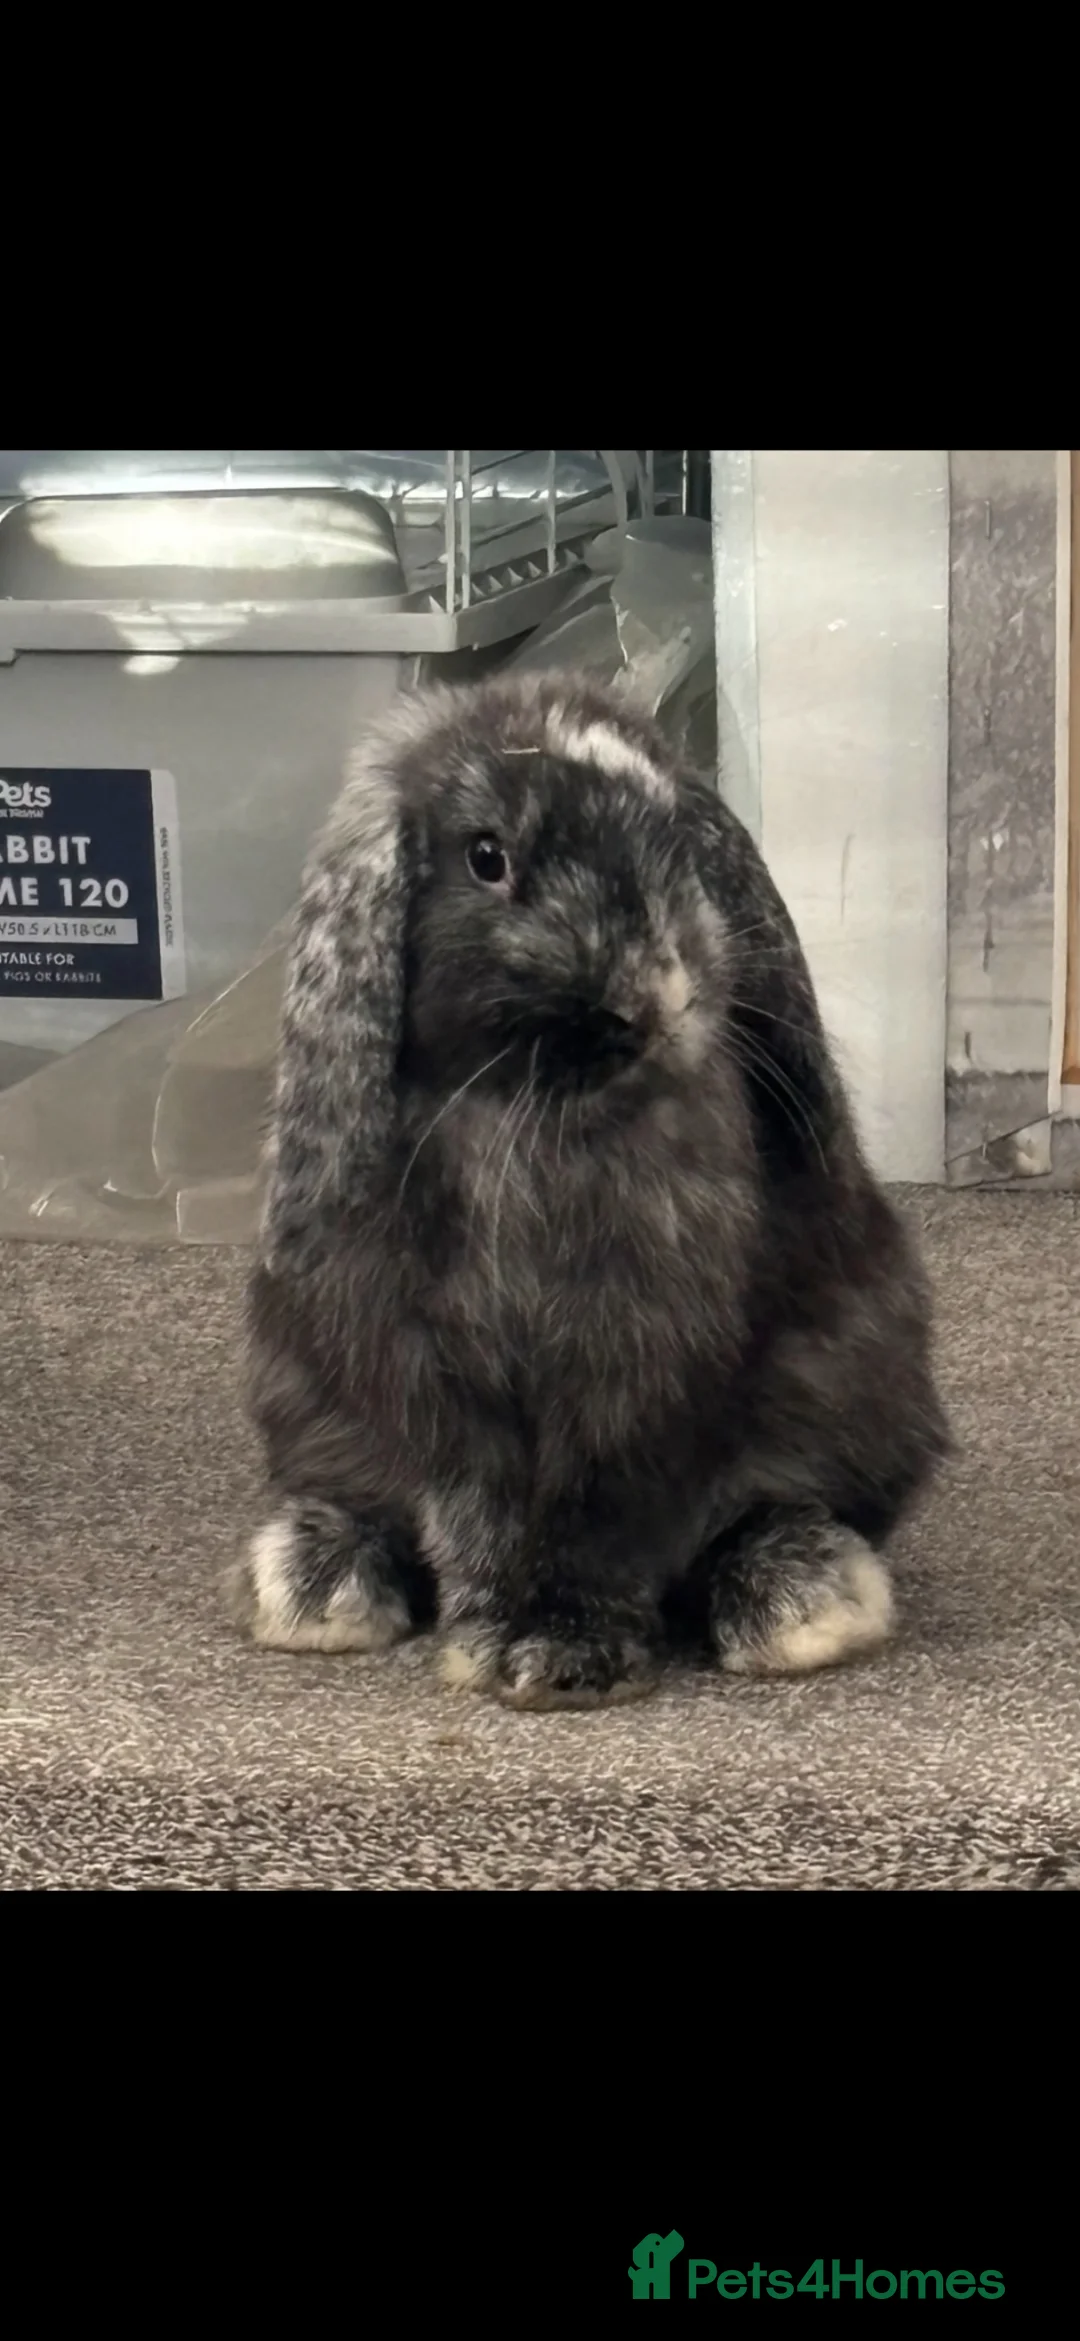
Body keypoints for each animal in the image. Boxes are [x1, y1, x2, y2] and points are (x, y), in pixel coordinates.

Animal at [229, 673, 949, 1710]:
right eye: (487, 857)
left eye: (679, 841)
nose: (660, 999)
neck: (531, 1114)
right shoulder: (438, 1383)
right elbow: (476, 1525)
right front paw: (497, 1649)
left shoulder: (642, 1375)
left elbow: (609, 1523)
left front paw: (571, 1658)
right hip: (297, 1384)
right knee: (362, 1503)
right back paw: (318, 1583)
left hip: (857, 1376)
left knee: (774, 1507)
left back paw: (802, 1601)